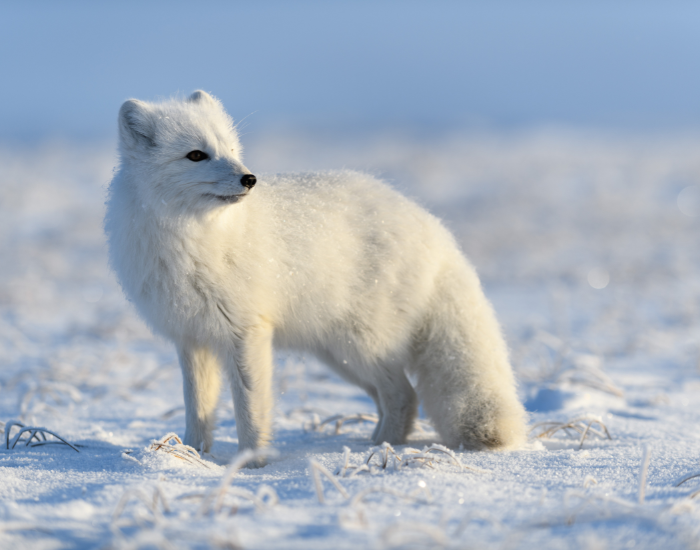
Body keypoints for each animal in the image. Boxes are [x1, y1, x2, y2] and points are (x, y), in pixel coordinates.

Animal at [105, 90, 527, 463]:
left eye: (232, 151)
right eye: (196, 155)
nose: (249, 179)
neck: (194, 238)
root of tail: (434, 228)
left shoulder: (246, 332)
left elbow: (251, 410)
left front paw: (252, 464)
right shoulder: (191, 338)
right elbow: (197, 410)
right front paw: (191, 456)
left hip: (361, 346)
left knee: (404, 395)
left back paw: (381, 449)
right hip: (340, 356)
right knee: (395, 397)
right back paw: (370, 444)